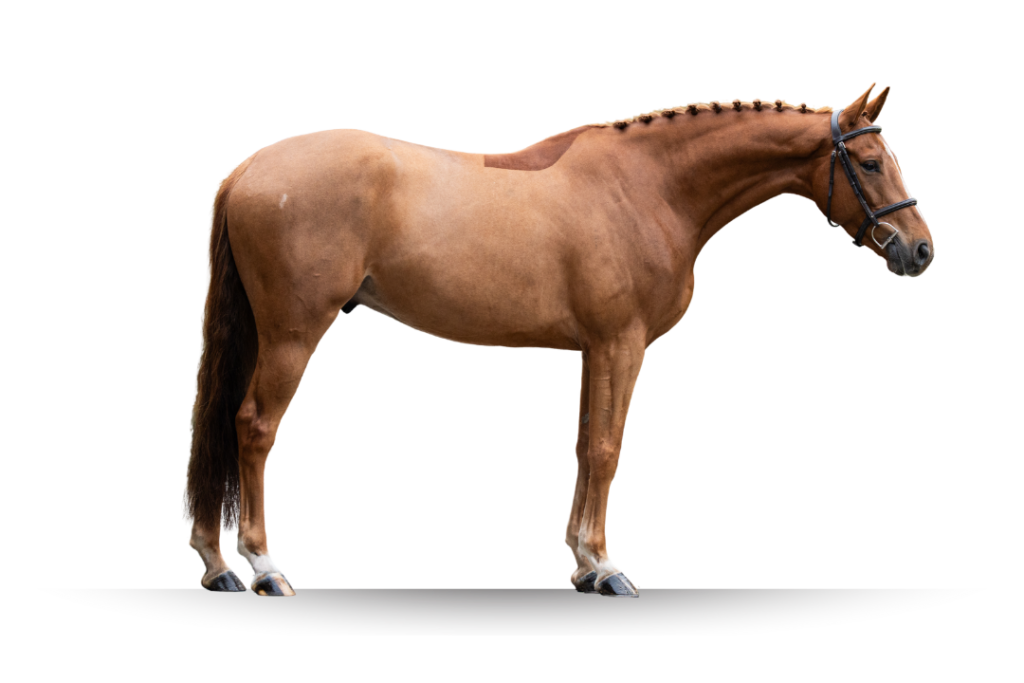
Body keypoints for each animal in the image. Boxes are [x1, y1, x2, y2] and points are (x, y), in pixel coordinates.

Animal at [182, 82, 933, 597]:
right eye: (869, 162)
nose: (920, 250)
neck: (647, 187)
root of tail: (247, 170)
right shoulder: (622, 343)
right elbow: (607, 450)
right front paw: (607, 568)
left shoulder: (595, 349)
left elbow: (584, 446)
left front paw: (582, 564)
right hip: (293, 332)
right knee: (253, 427)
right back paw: (264, 567)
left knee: (221, 425)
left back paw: (218, 563)